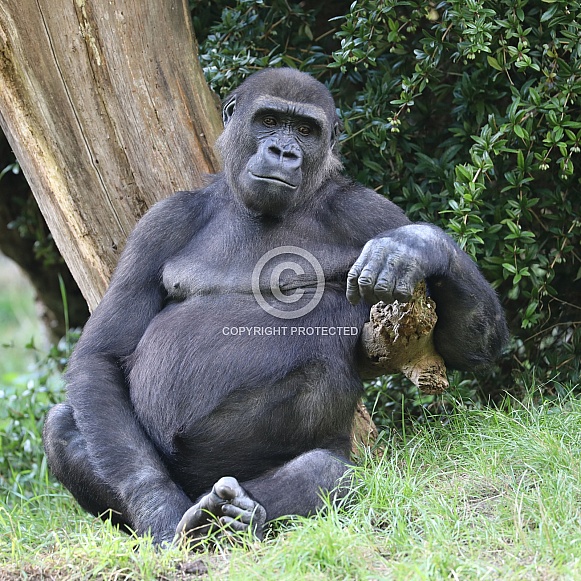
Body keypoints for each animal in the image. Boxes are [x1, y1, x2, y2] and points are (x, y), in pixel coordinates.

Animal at [43, 69, 506, 544]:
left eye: (305, 130)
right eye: (268, 120)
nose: (282, 152)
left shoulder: (368, 210)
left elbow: (464, 347)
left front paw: (420, 245)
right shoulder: (161, 222)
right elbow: (102, 355)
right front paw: (157, 508)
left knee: (328, 468)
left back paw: (239, 515)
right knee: (63, 424)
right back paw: (196, 516)